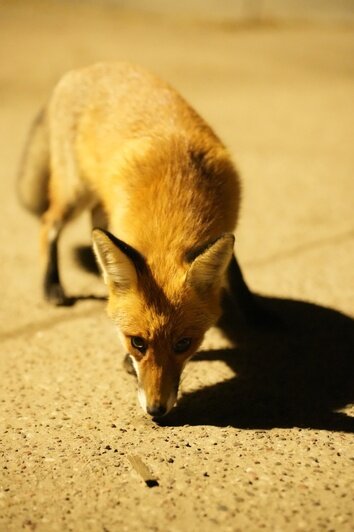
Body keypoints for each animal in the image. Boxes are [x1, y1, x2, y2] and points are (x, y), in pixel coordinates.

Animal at [18, 62, 258, 418]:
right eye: (137, 343)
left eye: (184, 344)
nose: (157, 411)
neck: (176, 194)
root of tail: (85, 69)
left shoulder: (227, 226)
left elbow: (235, 273)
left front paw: (256, 313)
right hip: (75, 191)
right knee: (48, 224)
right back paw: (52, 286)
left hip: (97, 203)